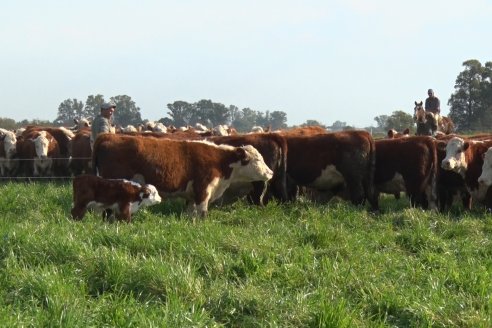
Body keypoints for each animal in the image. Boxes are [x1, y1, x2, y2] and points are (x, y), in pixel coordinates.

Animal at [92, 132, 272, 217]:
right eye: (258, 159)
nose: (271, 172)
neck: (219, 160)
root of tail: (108, 136)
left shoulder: (191, 195)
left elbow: (190, 214)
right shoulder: (203, 190)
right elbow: (202, 213)